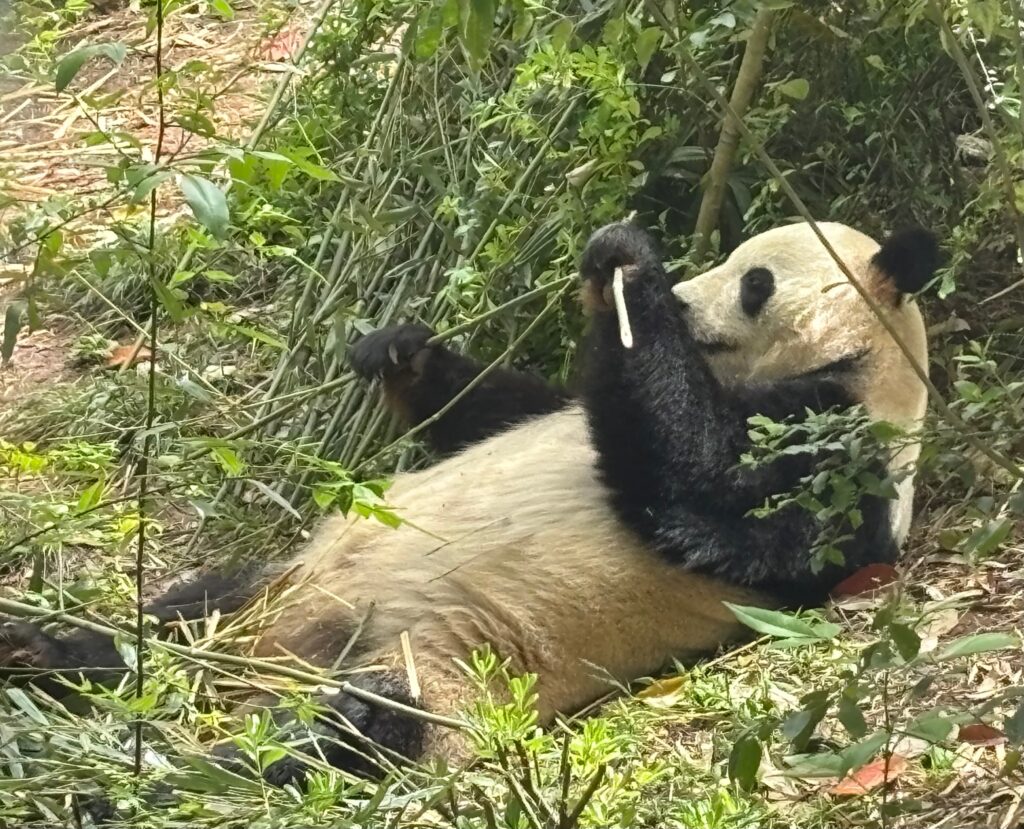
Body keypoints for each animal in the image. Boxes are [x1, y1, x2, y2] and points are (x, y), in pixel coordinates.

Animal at [0, 219, 936, 786]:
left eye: (755, 282)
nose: (681, 299)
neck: (862, 366)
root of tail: (269, 665)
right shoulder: (571, 408)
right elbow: (510, 409)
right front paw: (400, 351)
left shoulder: (841, 456)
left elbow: (699, 491)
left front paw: (627, 268)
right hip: (277, 588)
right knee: (175, 618)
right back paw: (44, 651)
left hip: (439, 671)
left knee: (338, 735)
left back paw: (138, 781)